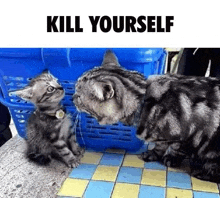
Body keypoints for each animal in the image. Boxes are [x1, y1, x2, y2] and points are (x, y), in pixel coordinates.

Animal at [74, 50, 220, 183]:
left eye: (79, 96)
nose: (72, 97)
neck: (145, 100)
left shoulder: (186, 134)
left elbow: (176, 148)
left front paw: (171, 158)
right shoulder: (162, 137)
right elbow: (160, 145)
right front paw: (153, 154)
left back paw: (202, 173)